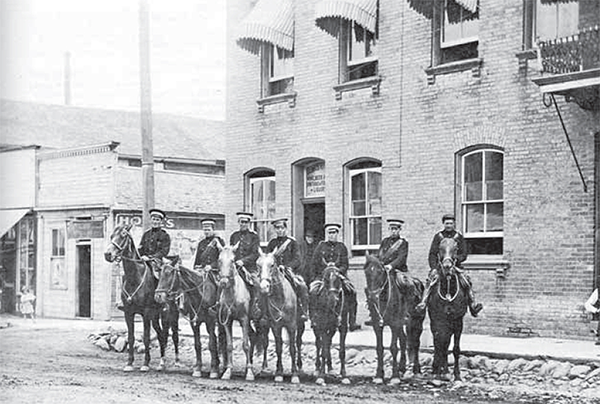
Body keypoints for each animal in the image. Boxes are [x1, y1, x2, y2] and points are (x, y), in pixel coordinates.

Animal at [103, 224, 168, 372]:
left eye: (123, 235)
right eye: (111, 236)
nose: (108, 254)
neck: (135, 277)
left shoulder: (146, 313)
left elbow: (146, 338)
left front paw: (145, 364)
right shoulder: (128, 313)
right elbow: (131, 337)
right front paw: (129, 363)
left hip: (165, 315)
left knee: (165, 334)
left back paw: (162, 363)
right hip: (155, 316)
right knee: (160, 334)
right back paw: (161, 363)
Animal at [218, 243, 258, 382]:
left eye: (232, 261)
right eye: (219, 260)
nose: (223, 283)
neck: (232, 294)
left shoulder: (244, 319)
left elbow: (245, 344)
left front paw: (250, 373)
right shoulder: (227, 321)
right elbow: (229, 346)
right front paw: (228, 371)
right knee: (253, 336)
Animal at [255, 251, 300, 384]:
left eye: (272, 265)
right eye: (258, 265)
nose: (264, 287)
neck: (281, 297)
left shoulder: (292, 326)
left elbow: (292, 348)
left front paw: (294, 374)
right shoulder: (276, 326)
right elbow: (279, 348)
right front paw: (279, 373)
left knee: (298, 344)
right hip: (264, 325)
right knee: (265, 343)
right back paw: (264, 368)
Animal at [360, 256, 426, 386]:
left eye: (380, 271)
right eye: (366, 272)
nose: (373, 296)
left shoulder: (394, 324)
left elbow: (393, 348)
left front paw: (394, 377)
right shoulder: (377, 325)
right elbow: (380, 348)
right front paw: (379, 375)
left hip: (416, 322)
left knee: (415, 343)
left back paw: (416, 370)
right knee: (404, 340)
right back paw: (402, 368)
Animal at [428, 237, 472, 382]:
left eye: (455, 249)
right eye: (441, 248)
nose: (447, 267)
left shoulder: (458, 322)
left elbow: (455, 348)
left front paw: (457, 375)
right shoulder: (437, 321)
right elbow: (439, 344)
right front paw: (437, 372)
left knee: (446, 343)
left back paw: (446, 370)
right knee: (441, 344)